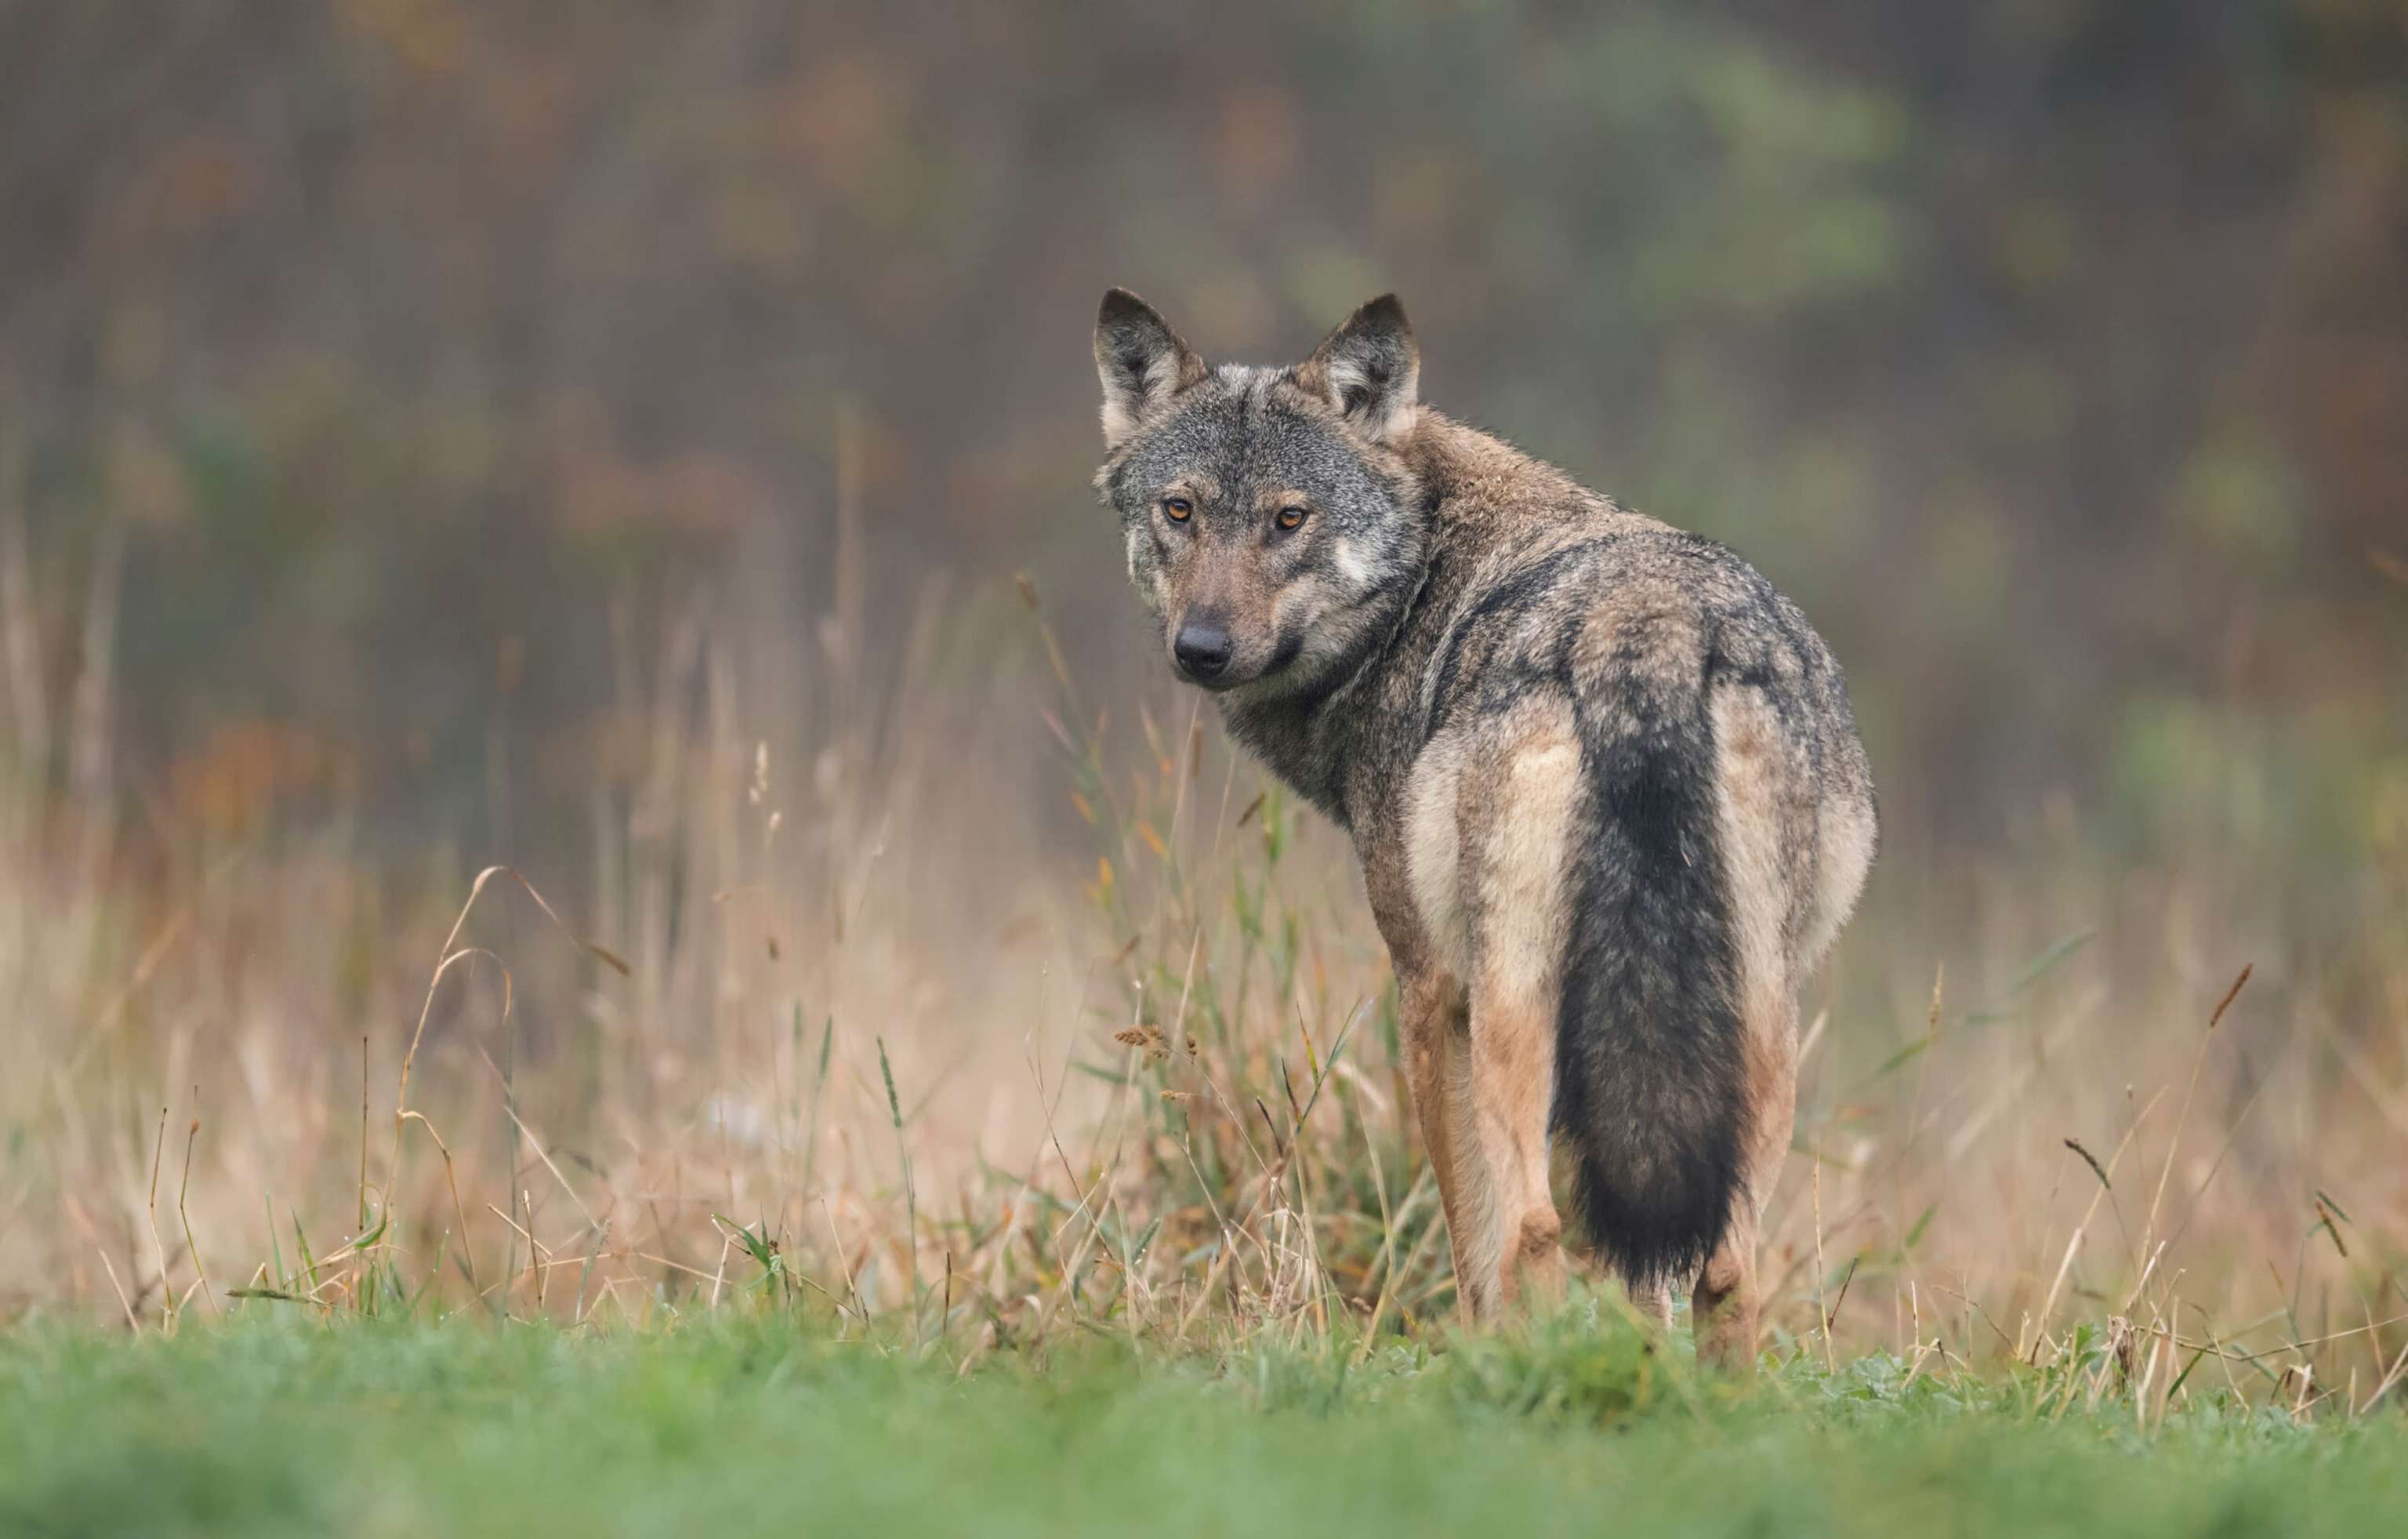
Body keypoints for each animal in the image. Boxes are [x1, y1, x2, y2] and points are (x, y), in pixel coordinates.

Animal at [1089, 289, 1875, 1367]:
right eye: (1181, 511)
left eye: (1290, 519)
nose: (1201, 648)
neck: (1421, 581)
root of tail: (1645, 627)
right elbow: (1648, 1279)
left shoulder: (1430, 992)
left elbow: (1475, 1238)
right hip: (1755, 1016)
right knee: (1724, 1265)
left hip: (1516, 1003)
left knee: (1538, 1228)